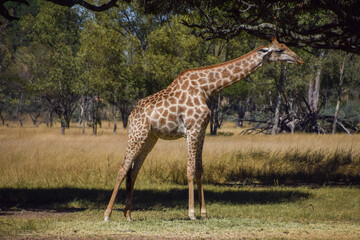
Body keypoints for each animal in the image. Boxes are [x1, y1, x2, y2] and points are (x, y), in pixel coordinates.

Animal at [104, 36, 304, 222]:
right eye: (280, 49)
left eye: (285, 46)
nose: (300, 59)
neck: (207, 89)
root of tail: (131, 115)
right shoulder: (192, 130)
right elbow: (190, 170)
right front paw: (192, 213)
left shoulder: (201, 131)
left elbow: (199, 170)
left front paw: (204, 213)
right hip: (137, 133)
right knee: (123, 168)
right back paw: (107, 214)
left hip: (150, 138)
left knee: (133, 170)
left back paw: (128, 215)